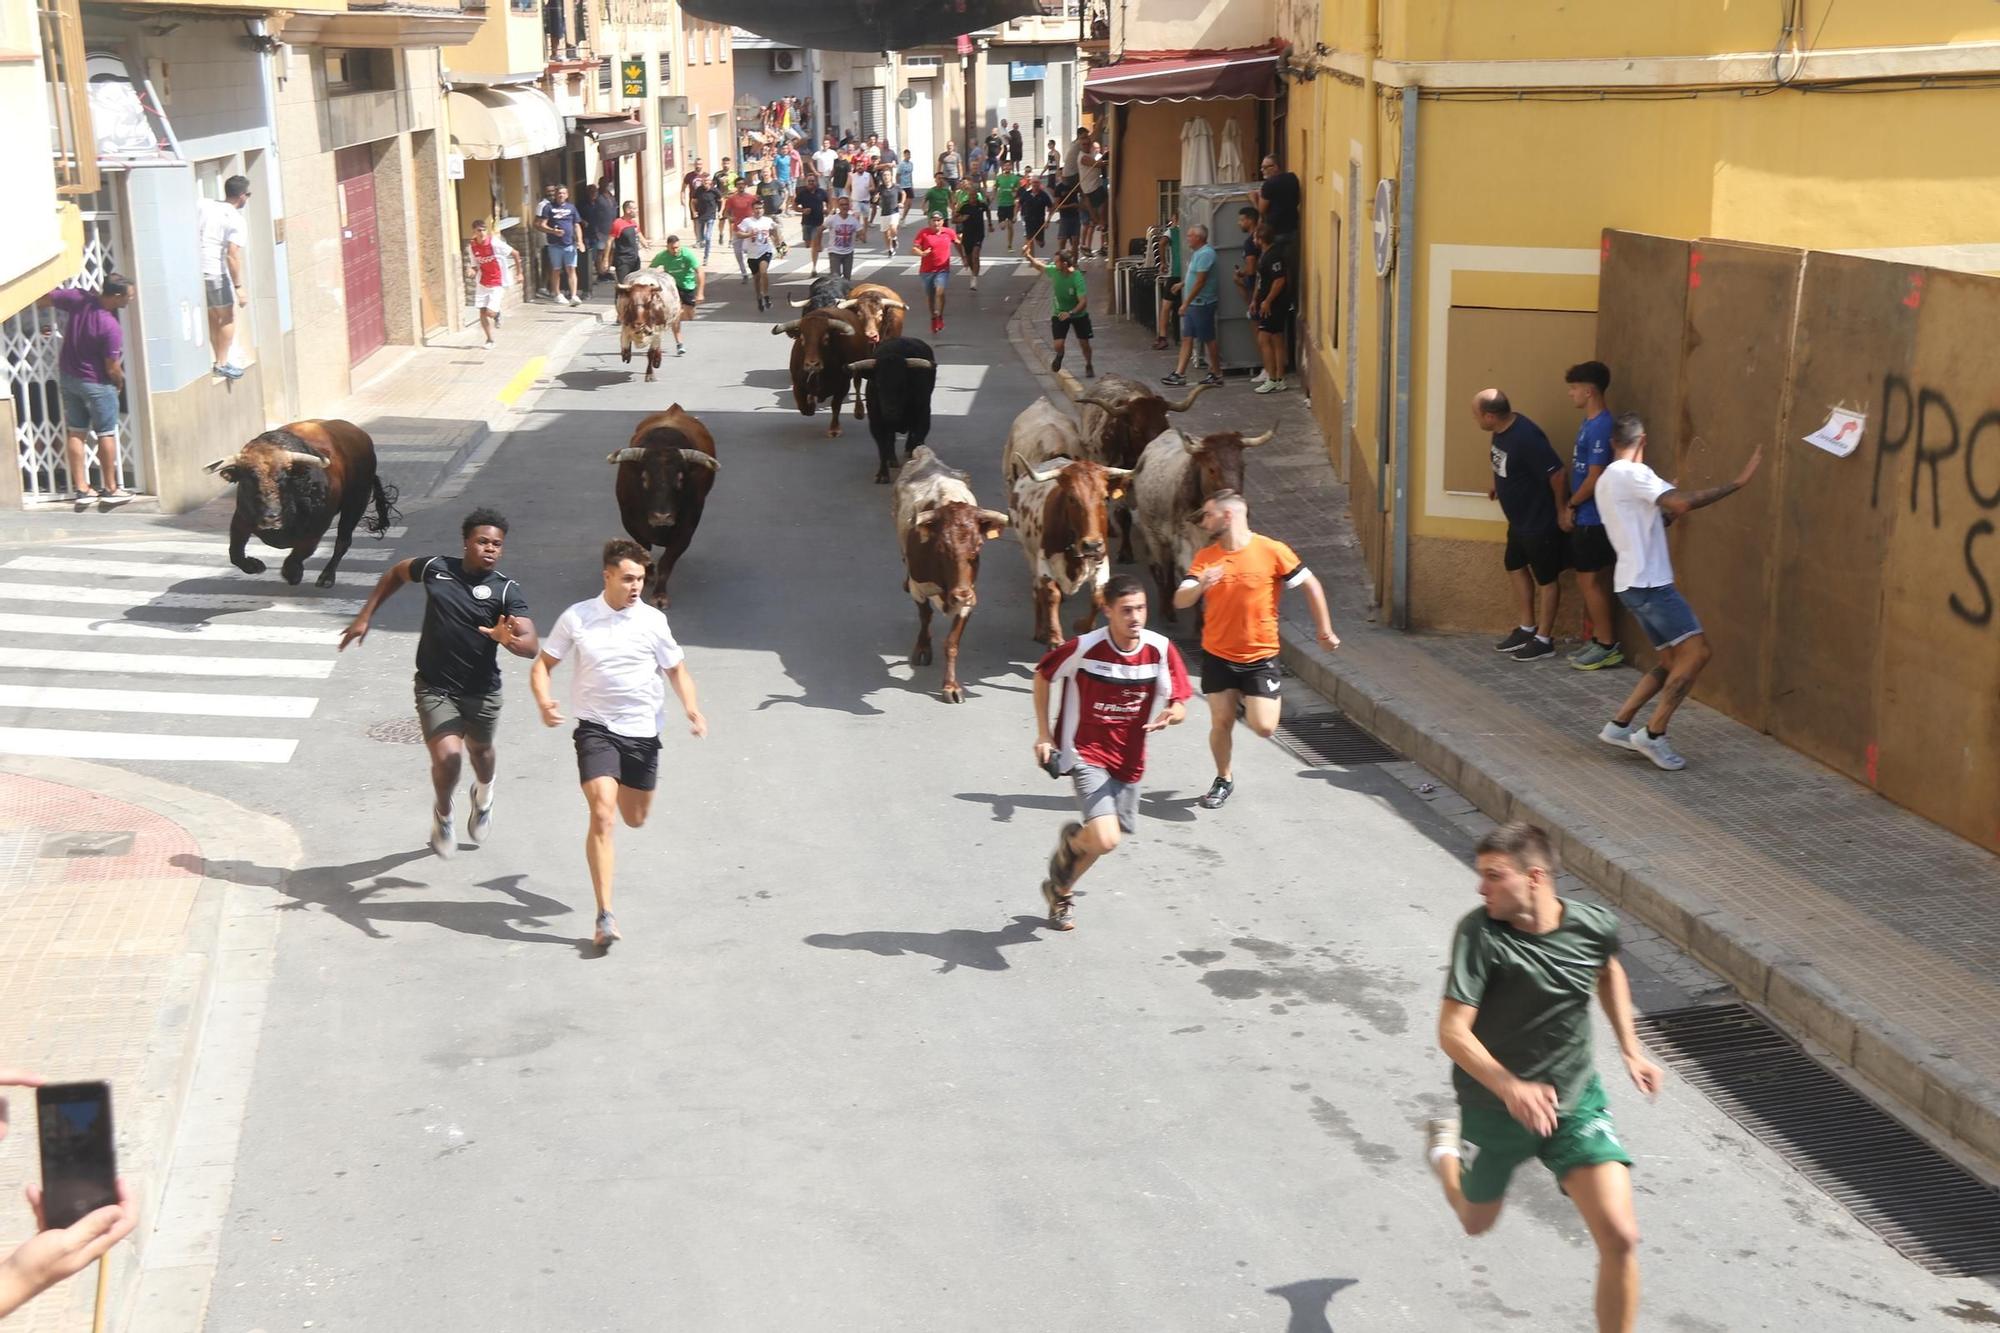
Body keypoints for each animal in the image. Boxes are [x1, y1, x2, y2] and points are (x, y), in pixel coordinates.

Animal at [604, 402, 724, 604]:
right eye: (644, 478)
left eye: (681, 478)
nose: (662, 516)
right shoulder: (631, 523)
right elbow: (644, 550)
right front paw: (648, 575)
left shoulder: (686, 531)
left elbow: (667, 562)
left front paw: (659, 596)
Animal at [896, 444, 1008, 700]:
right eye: (941, 548)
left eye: (978, 547)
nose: (960, 595)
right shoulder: (919, 588)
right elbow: (925, 617)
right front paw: (922, 648)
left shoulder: (969, 598)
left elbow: (952, 643)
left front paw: (951, 686)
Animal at [1008, 456, 1136, 644]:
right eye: (1071, 498)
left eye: (1105, 497)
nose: (1091, 545)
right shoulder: (1044, 562)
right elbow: (1051, 595)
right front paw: (1055, 639)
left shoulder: (1101, 562)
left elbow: (1098, 599)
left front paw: (1082, 626)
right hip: (1029, 554)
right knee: (1037, 591)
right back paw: (1041, 631)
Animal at [1136, 420, 1272, 616]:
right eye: (1212, 469)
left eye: (1243, 466)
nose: (1240, 508)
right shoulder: (1184, 546)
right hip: (1152, 534)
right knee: (1162, 568)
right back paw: (1166, 607)